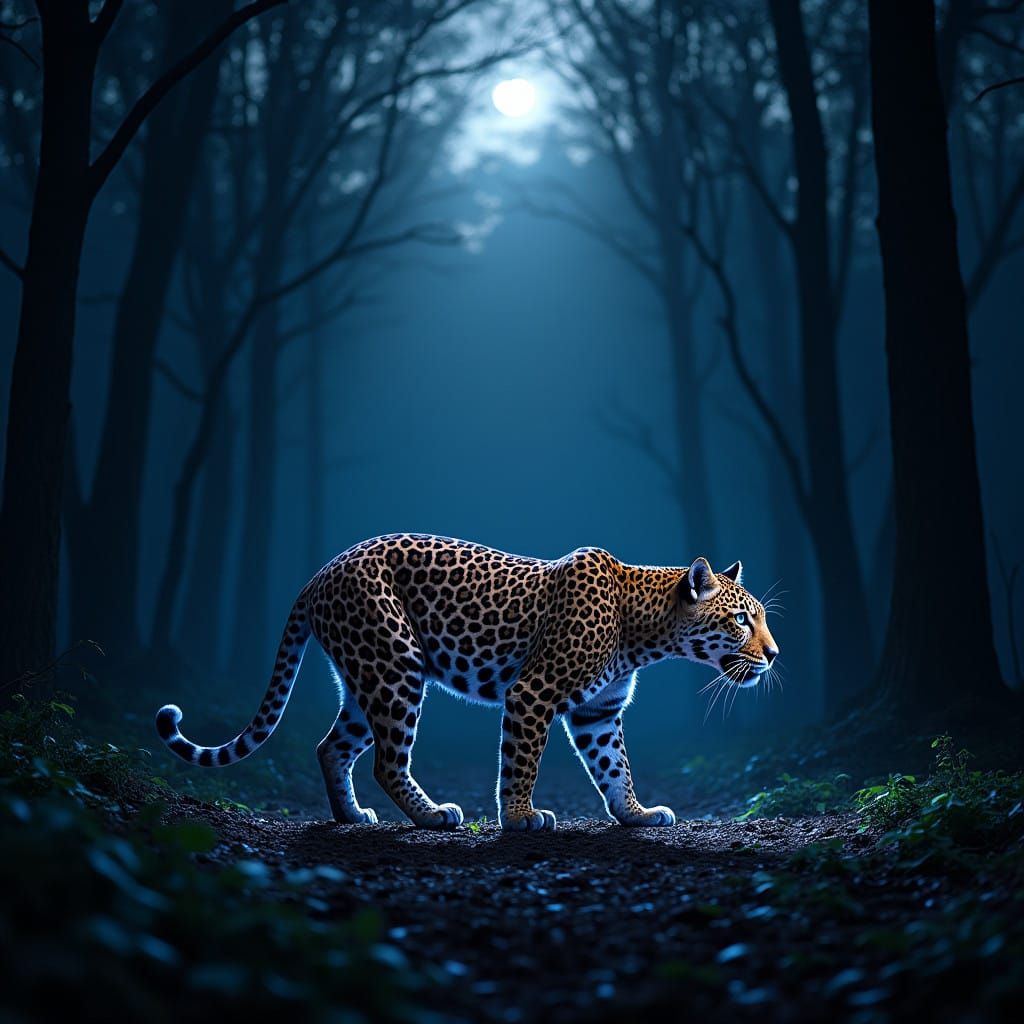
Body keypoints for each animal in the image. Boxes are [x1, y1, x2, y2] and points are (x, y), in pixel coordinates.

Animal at [156, 533, 779, 831]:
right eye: (740, 619)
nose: (774, 655)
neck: (643, 630)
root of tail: (320, 572)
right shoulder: (534, 693)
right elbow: (521, 761)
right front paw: (523, 817)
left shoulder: (598, 712)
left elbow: (615, 767)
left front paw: (635, 815)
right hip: (396, 664)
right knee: (387, 760)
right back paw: (433, 816)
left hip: (364, 675)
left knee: (331, 746)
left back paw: (351, 817)